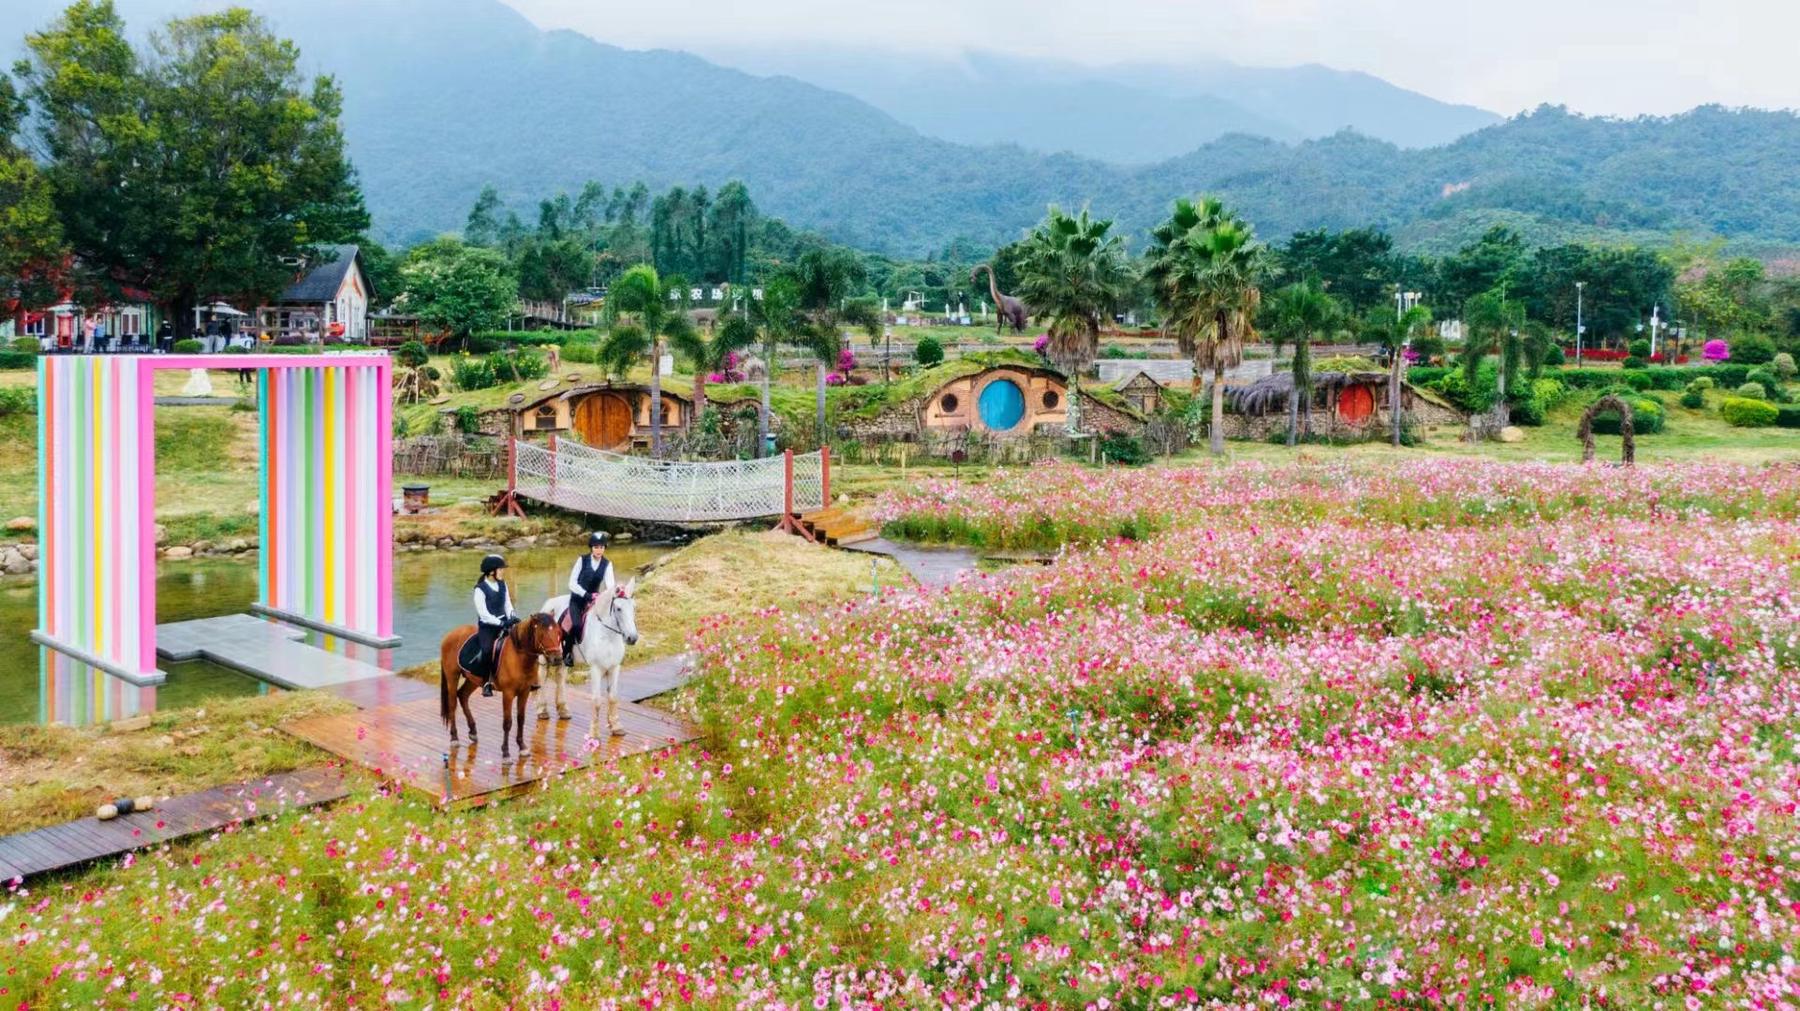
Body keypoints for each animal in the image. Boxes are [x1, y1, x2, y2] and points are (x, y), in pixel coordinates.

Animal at [437, 611, 561, 751]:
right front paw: (506, 751)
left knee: (463, 696)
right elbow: (507, 722)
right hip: (452, 676)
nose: (557, 659)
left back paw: (473, 731)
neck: (519, 656)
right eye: (542, 634)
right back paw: (454, 738)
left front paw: (522, 746)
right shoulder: (508, 693)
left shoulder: (524, 692)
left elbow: (521, 719)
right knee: (452, 704)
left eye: (558, 631)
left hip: (473, 680)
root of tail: (450, 634)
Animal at [536, 579, 637, 737]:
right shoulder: (596, 668)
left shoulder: (614, 667)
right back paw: (542, 710)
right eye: (618, 608)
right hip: (544, 657)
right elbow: (596, 701)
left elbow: (613, 697)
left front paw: (616, 726)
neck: (607, 636)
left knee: (560, 678)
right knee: (542, 677)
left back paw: (563, 710)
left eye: (633, 607)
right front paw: (594, 733)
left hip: (562, 657)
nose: (632, 638)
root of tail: (549, 603)